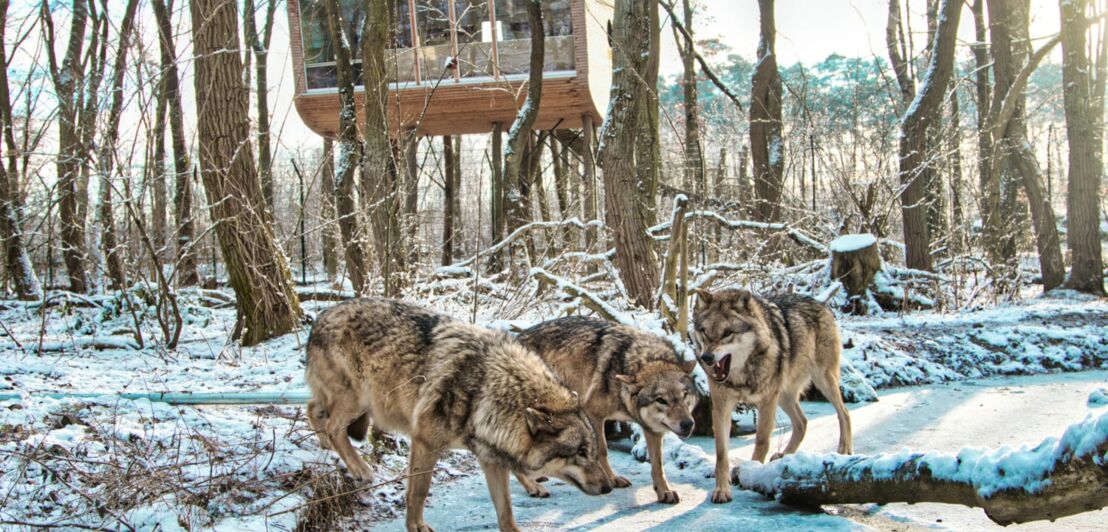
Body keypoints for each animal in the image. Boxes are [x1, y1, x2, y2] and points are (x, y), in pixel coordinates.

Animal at [305, 299, 616, 532]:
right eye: (580, 452)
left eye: (590, 450)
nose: (608, 487)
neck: (486, 389)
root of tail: (320, 317)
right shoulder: (425, 443)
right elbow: (418, 492)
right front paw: (416, 526)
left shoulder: (491, 459)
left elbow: (505, 511)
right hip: (358, 399)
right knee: (333, 426)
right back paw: (360, 469)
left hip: (353, 402)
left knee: (312, 410)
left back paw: (325, 449)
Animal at [514, 316, 695, 505]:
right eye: (661, 400)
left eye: (684, 395)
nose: (687, 424)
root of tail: (517, 337)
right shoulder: (593, 413)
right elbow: (602, 451)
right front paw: (612, 480)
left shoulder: (652, 428)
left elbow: (658, 464)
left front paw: (664, 491)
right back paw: (533, 487)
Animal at [686, 288, 850, 505]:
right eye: (704, 331)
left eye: (728, 333)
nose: (707, 358)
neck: (741, 375)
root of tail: (821, 303)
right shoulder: (721, 407)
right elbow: (721, 453)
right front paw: (722, 490)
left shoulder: (766, 403)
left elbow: (761, 441)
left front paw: (751, 473)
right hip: (784, 396)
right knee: (803, 422)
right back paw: (784, 457)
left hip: (821, 381)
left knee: (844, 413)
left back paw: (844, 450)